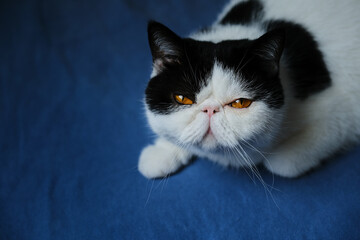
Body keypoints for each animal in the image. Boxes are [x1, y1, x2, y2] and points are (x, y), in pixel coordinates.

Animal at [138, 0, 360, 178]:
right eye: (182, 98)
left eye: (240, 103)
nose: (210, 109)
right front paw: (162, 152)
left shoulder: (343, 113)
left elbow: (285, 164)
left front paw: (284, 154)